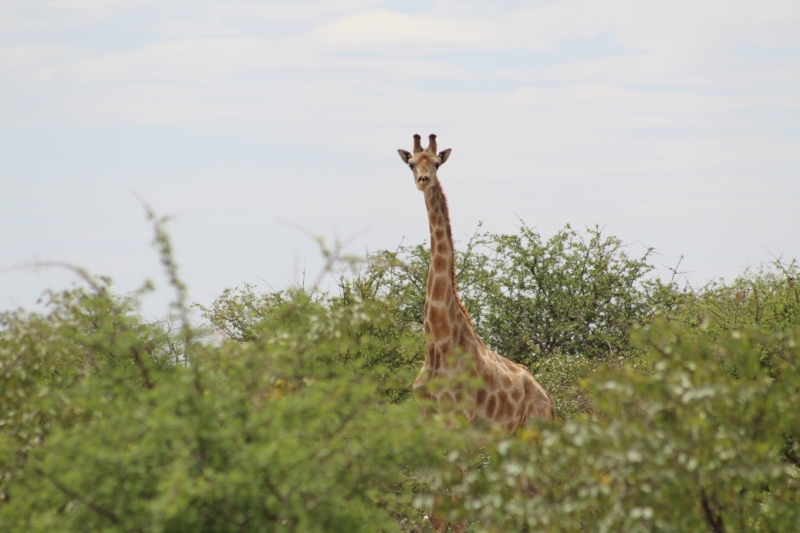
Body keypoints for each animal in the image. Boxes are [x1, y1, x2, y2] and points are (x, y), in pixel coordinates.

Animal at [396, 133, 552, 532]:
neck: (438, 341)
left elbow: (456, 509)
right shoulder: (430, 424)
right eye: (411, 163)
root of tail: (550, 400)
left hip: (533, 439)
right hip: (509, 446)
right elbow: (437, 512)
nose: (423, 181)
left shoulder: (459, 424)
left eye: (436, 163)